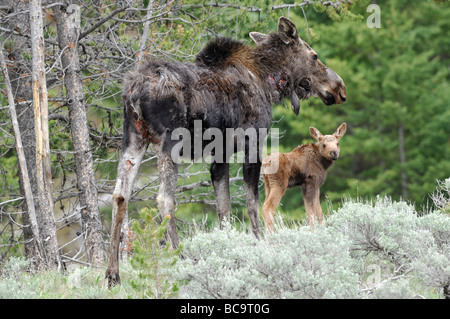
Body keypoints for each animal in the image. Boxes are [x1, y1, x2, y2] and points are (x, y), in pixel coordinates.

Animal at [107, 16, 346, 288]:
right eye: (314, 56)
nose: (340, 89)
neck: (269, 83)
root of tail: (135, 91)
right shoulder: (253, 142)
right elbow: (253, 204)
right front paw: (260, 246)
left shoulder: (219, 152)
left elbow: (224, 207)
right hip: (168, 141)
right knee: (164, 198)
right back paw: (181, 260)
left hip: (133, 137)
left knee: (119, 195)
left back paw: (113, 275)